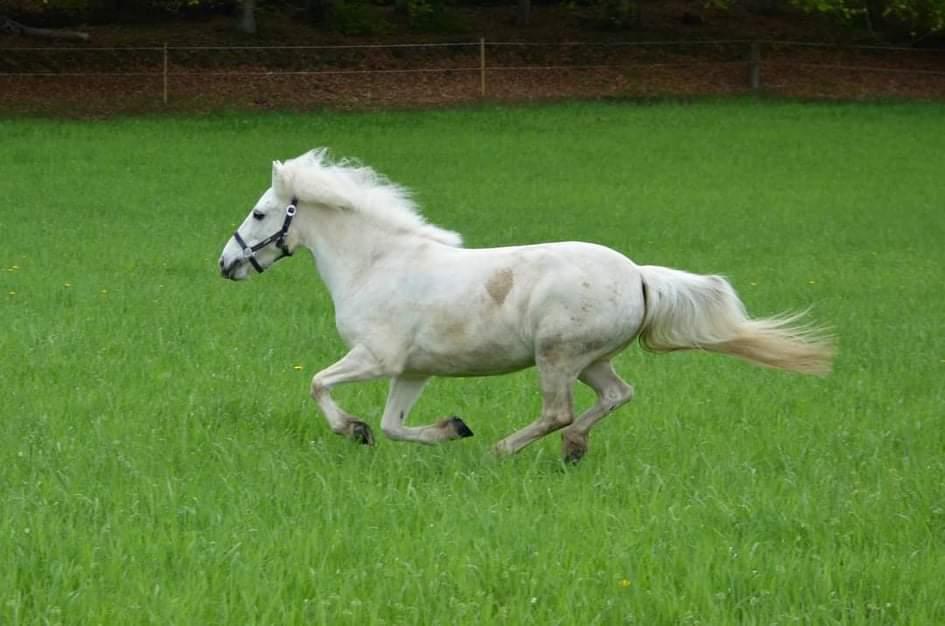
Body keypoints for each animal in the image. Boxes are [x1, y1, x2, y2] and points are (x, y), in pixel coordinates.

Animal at [216, 149, 832, 460]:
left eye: (261, 213)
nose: (226, 264)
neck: (375, 264)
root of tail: (638, 274)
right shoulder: (412, 370)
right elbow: (394, 426)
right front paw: (448, 429)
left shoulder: (376, 358)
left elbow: (318, 383)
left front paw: (352, 429)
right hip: (590, 359)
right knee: (617, 394)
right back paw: (573, 449)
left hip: (556, 355)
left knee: (557, 412)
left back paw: (503, 449)